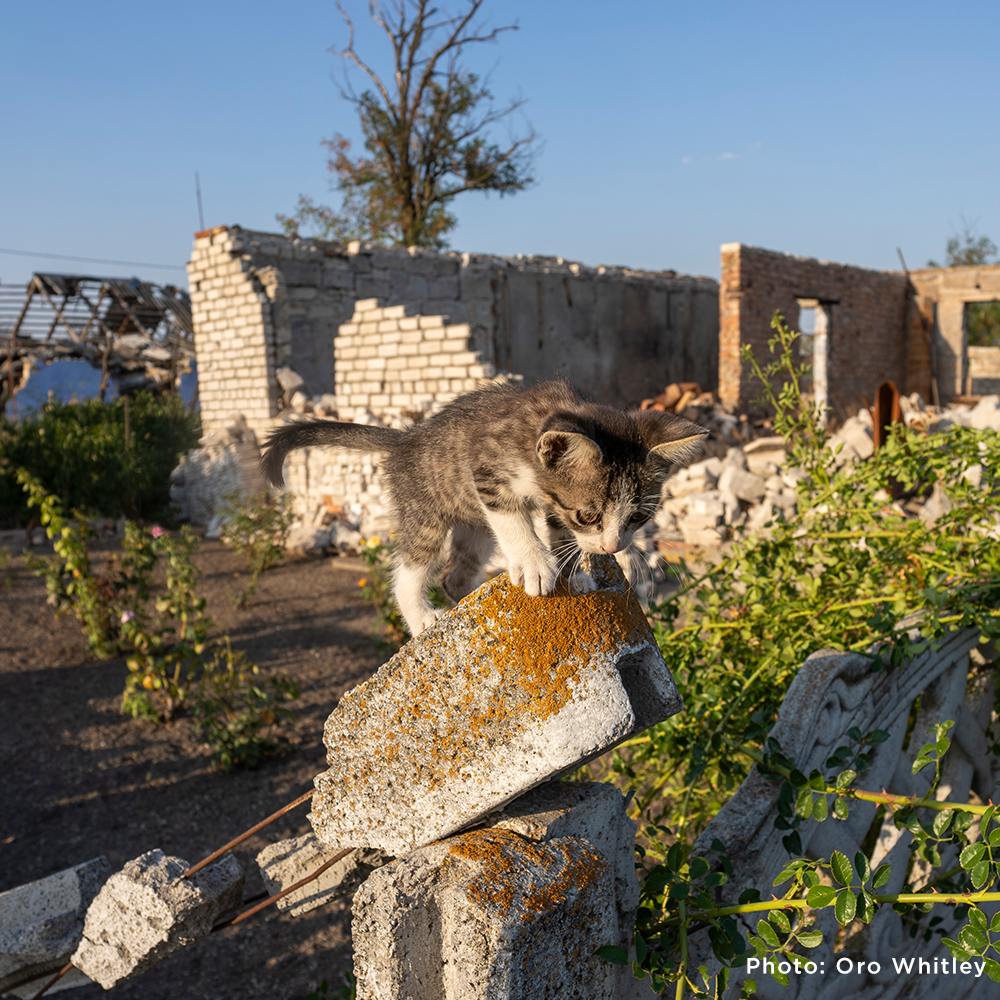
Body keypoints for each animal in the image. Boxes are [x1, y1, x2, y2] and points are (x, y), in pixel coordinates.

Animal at [262, 378, 708, 636]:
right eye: (589, 515)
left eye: (638, 517)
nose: (614, 546)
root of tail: (405, 439)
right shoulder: (487, 472)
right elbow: (514, 522)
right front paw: (535, 564)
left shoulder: (553, 503)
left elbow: (558, 531)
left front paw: (573, 573)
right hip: (427, 513)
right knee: (411, 568)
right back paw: (422, 617)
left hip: (475, 531)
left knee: (453, 576)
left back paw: (469, 599)